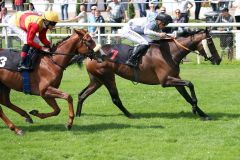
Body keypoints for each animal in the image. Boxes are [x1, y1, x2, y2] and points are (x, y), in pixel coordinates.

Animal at [74, 28, 221, 120]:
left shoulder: (175, 79)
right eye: (210, 42)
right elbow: (190, 84)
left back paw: (77, 116)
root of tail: (91, 53)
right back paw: (130, 115)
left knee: (82, 94)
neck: (170, 52)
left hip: (97, 80)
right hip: (107, 77)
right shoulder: (166, 81)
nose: (219, 60)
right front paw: (195, 109)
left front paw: (203, 114)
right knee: (115, 99)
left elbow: (188, 97)